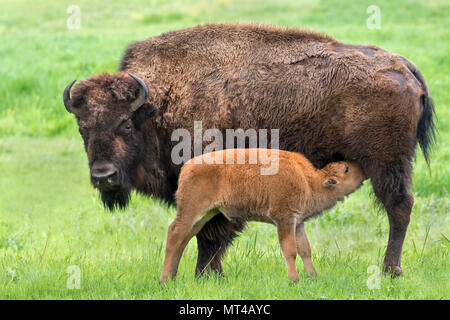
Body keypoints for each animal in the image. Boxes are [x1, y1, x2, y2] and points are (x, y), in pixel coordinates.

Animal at [162, 149, 366, 282]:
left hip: (205, 214)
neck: (309, 181)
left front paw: (313, 276)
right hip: (191, 210)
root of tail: (186, 168)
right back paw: (164, 279)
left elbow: (305, 250)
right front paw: (294, 279)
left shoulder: (298, 223)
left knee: (184, 238)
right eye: (346, 170)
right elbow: (290, 250)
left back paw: (172, 276)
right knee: (174, 234)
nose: (361, 167)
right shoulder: (284, 220)